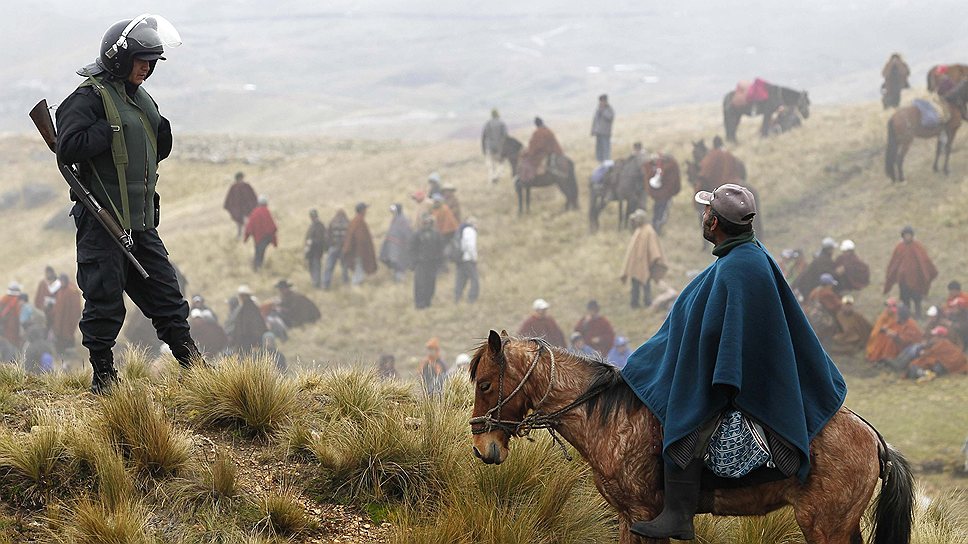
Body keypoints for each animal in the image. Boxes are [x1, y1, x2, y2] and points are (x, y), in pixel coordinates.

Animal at [468, 332, 916, 544]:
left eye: (486, 384)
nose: (483, 448)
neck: (613, 420)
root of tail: (875, 440)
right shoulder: (628, 517)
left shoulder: (646, 514)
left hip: (825, 525)